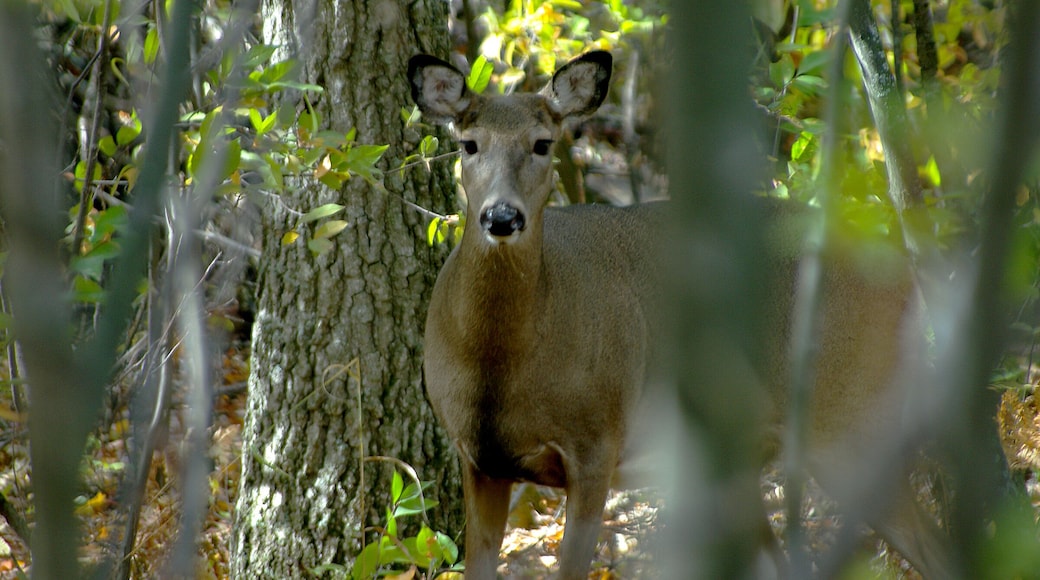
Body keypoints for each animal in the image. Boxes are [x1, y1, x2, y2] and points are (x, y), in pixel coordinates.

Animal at [410, 51, 952, 579]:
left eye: (543, 143)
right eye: (469, 145)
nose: (502, 217)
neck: (501, 364)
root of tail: (901, 268)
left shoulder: (597, 443)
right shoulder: (478, 459)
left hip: (847, 416)